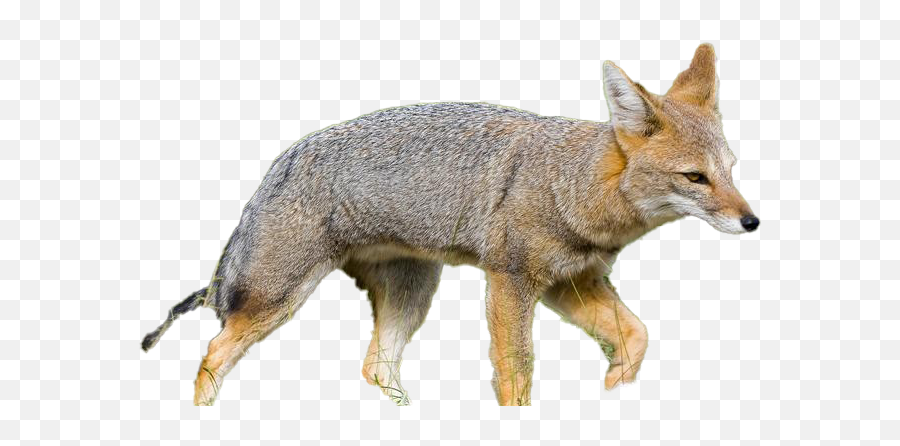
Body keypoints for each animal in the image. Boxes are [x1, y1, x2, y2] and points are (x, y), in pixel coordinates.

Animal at [141, 43, 758, 406]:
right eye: (696, 178)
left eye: (731, 171)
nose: (752, 221)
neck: (572, 185)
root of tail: (276, 165)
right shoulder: (512, 282)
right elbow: (516, 372)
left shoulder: (570, 282)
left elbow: (637, 333)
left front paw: (615, 388)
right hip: (278, 299)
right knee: (213, 355)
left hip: (414, 295)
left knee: (375, 367)